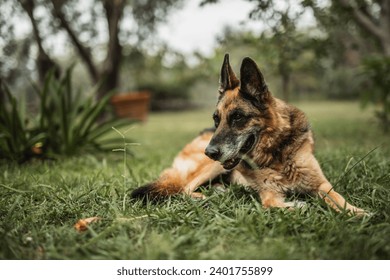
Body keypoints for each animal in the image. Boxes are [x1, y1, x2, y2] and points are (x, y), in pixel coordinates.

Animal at [133, 54, 368, 217]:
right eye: (216, 119)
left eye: (237, 117)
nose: (210, 152)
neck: (277, 155)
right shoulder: (270, 194)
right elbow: (276, 206)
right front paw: (299, 206)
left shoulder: (321, 184)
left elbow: (337, 198)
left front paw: (358, 212)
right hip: (211, 167)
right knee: (183, 187)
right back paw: (204, 196)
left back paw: (220, 189)